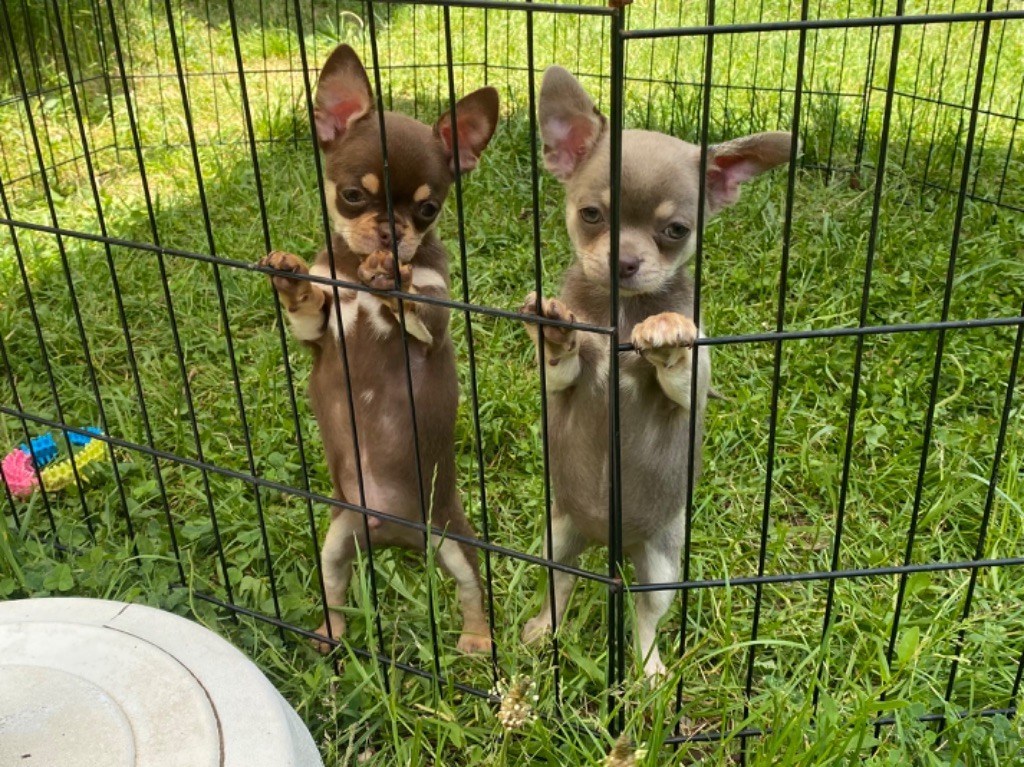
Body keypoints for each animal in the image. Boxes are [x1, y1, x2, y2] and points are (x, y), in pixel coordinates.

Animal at [260, 43, 499, 651]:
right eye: (352, 196)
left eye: (428, 210)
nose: (393, 232)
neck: (354, 269)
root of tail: (395, 538)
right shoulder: (320, 329)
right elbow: (310, 304)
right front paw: (291, 278)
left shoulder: (436, 312)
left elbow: (419, 306)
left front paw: (393, 280)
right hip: (337, 541)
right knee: (337, 587)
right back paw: (330, 631)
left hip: (454, 540)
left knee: (471, 591)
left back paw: (476, 640)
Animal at [520, 64, 798, 675]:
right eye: (591, 215)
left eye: (676, 230)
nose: (624, 261)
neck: (623, 312)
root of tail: (612, 545)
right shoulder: (560, 382)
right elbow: (562, 363)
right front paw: (556, 330)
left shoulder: (695, 385)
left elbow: (684, 370)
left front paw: (667, 333)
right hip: (557, 536)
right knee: (561, 586)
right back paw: (543, 630)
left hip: (663, 566)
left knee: (644, 619)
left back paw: (648, 672)